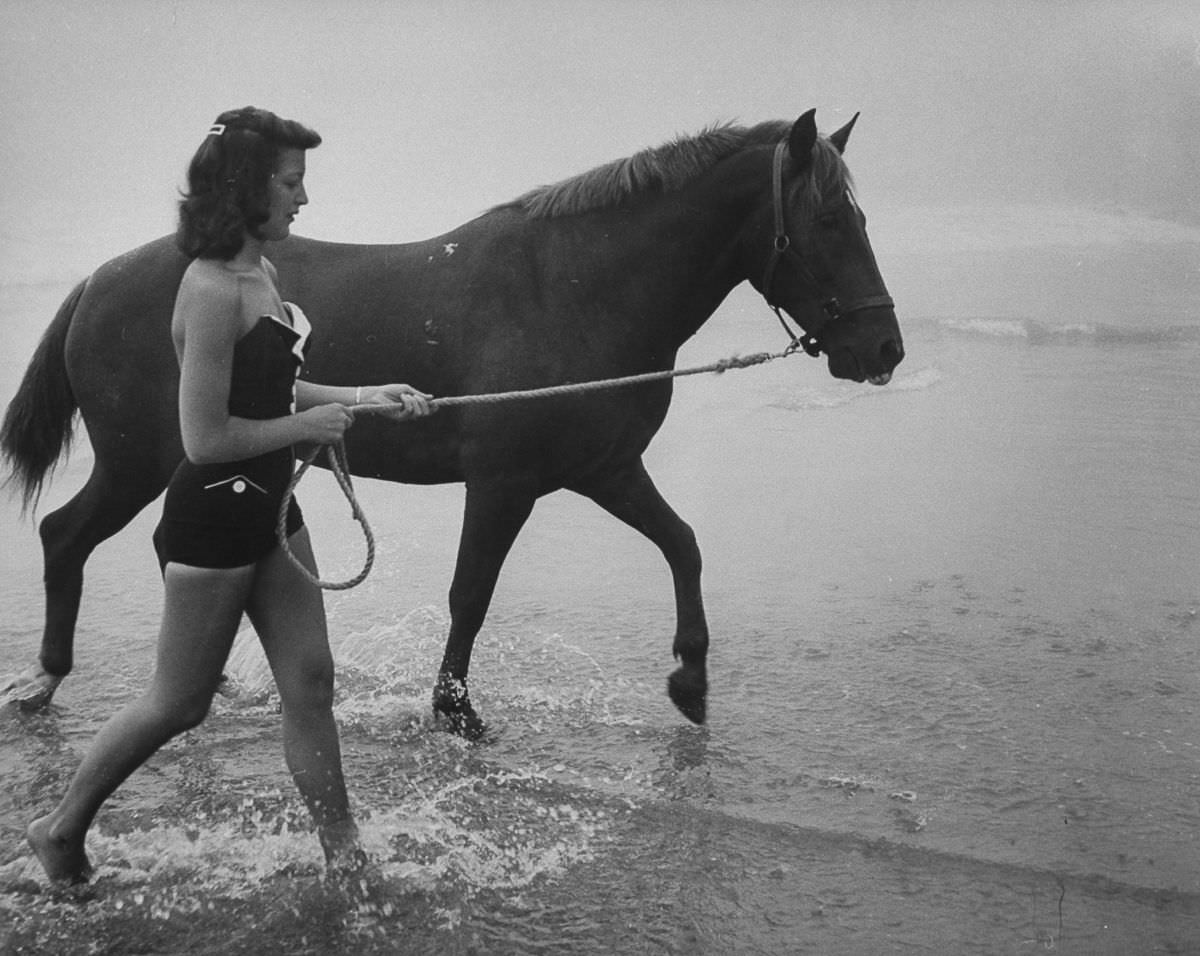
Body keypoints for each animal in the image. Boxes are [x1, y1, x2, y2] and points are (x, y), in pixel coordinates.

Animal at [0, 113, 902, 738]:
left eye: (861, 221)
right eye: (828, 222)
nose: (883, 348)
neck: (575, 289)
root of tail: (97, 280)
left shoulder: (606, 471)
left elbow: (683, 545)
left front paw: (690, 680)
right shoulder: (503, 483)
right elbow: (471, 593)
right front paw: (453, 711)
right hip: (135, 463)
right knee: (66, 536)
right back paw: (45, 681)